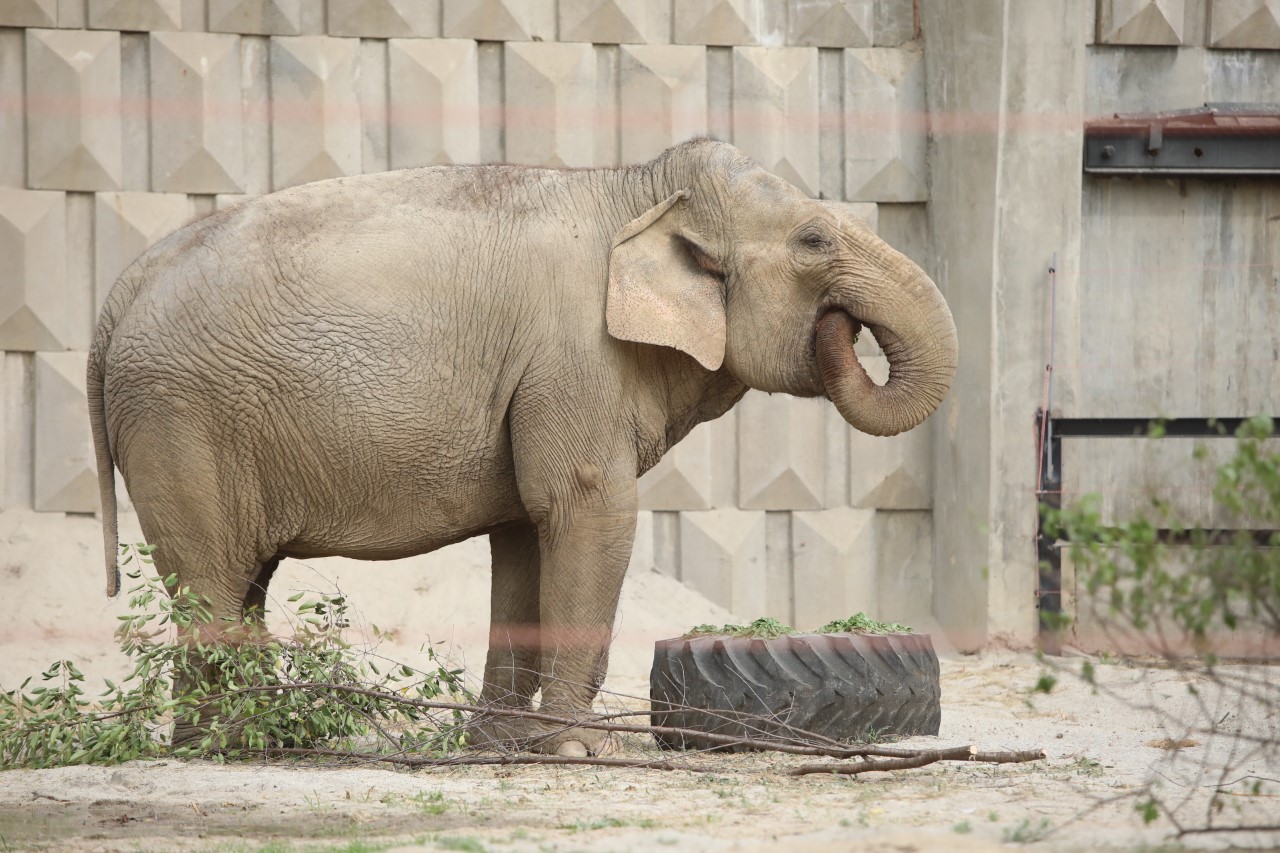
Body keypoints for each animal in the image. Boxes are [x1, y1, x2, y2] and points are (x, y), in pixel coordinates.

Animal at [90, 136, 957, 753]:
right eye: (814, 240)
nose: (842, 326)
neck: (638, 188)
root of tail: (120, 289)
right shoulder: (575, 358)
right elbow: (587, 507)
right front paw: (579, 749)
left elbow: (522, 537)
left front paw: (503, 745)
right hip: (178, 420)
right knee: (212, 578)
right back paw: (223, 746)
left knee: (247, 580)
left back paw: (267, 738)